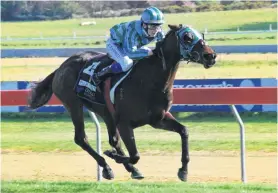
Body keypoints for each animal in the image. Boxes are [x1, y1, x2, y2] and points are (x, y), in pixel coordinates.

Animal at [27, 24, 216, 181]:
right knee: (81, 138)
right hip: (73, 104)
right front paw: (114, 157)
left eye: (201, 35)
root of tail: (61, 68)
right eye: (187, 37)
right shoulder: (125, 123)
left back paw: (128, 169)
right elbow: (135, 155)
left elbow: (184, 131)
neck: (149, 80)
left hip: (105, 112)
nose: (211, 56)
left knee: (113, 139)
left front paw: (183, 171)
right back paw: (107, 167)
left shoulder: (158, 119)